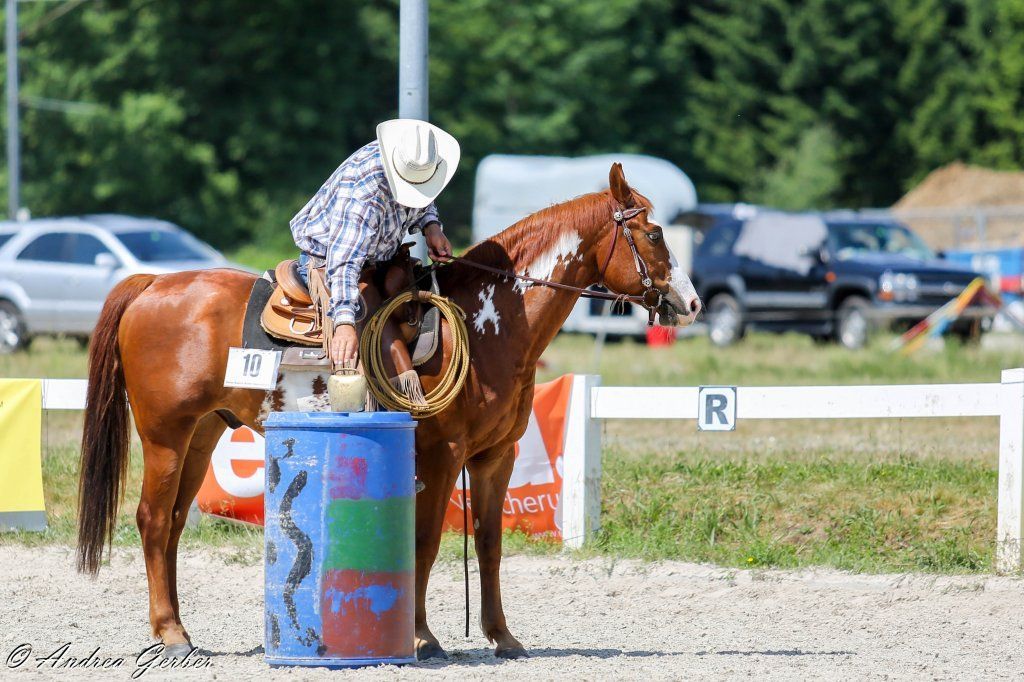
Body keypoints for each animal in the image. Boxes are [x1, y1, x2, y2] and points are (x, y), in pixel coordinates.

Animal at [76, 162, 701, 659]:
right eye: (652, 232)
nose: (691, 302)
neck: (487, 321)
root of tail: (151, 283)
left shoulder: (496, 456)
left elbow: (490, 544)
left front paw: (503, 637)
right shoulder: (443, 454)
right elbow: (424, 543)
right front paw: (423, 638)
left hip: (203, 433)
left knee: (176, 522)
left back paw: (178, 629)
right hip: (165, 435)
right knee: (154, 520)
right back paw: (170, 633)